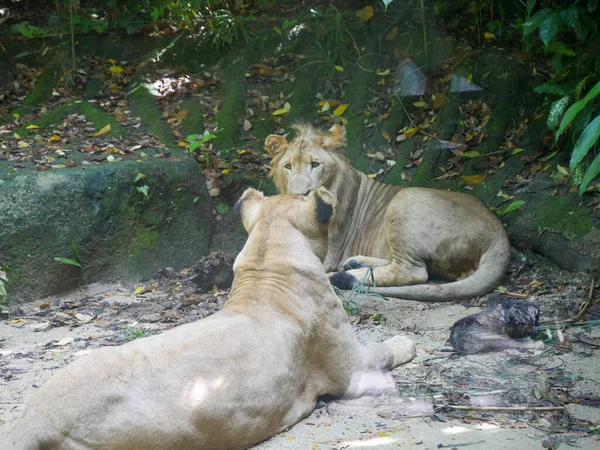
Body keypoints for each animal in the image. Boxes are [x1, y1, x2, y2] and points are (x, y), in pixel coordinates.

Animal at [266, 122, 510, 302]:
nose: (300, 194)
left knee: (413, 272)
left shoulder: (328, 253)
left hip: (405, 199)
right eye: (288, 166)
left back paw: (344, 275)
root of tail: (500, 233)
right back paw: (355, 263)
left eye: (315, 164)